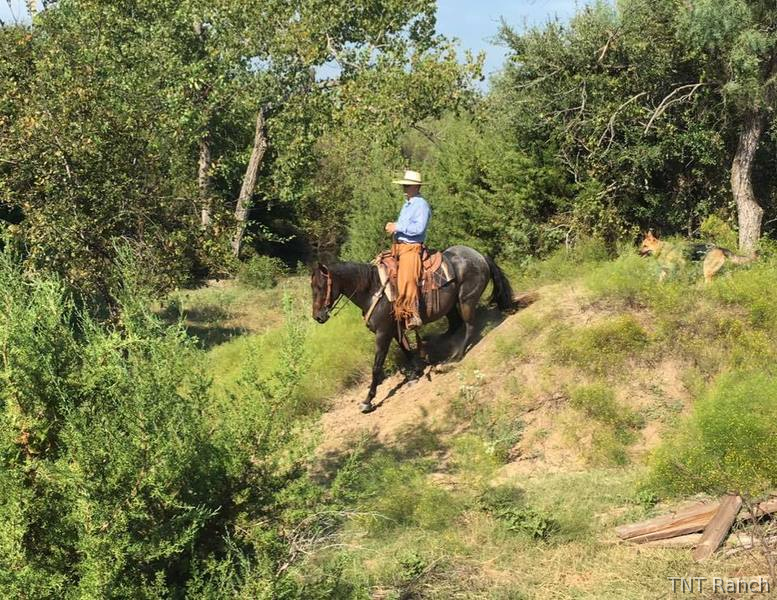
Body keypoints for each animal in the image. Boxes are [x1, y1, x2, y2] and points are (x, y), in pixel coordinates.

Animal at [310, 245, 515, 413]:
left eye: (320, 286)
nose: (318, 317)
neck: (372, 289)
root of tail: (479, 256)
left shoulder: (383, 334)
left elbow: (376, 367)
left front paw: (368, 400)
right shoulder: (394, 330)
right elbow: (407, 350)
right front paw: (416, 372)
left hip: (466, 300)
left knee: (470, 326)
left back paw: (455, 356)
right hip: (451, 306)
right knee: (455, 325)